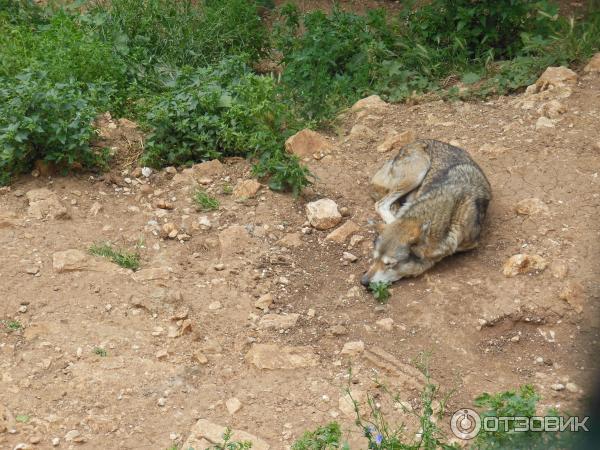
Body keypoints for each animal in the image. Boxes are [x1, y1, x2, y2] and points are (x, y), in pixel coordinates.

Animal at [360, 139, 492, 286]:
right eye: (374, 258)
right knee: (381, 204)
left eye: (390, 264)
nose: (363, 281)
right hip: (418, 173)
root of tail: (414, 142)